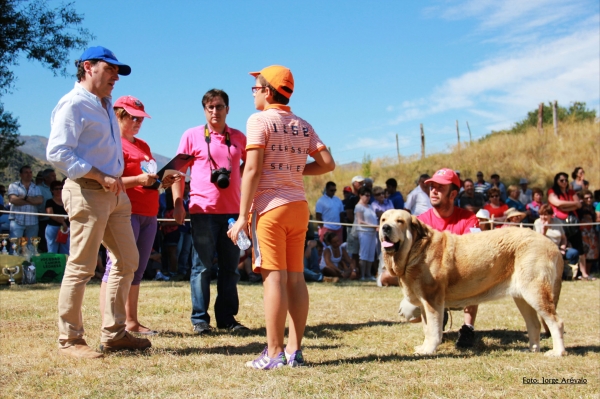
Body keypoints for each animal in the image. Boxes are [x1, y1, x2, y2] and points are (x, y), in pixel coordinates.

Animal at [380, 209, 568, 356]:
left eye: (400, 221)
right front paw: (424, 347)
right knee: (534, 324)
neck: (417, 249)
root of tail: (551, 245)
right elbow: (427, 328)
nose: (385, 228)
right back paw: (531, 349)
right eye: (383, 219)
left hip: (535, 292)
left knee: (556, 322)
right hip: (522, 297)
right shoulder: (425, 304)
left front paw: (429, 350)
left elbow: (433, 329)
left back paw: (557, 352)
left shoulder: (432, 301)